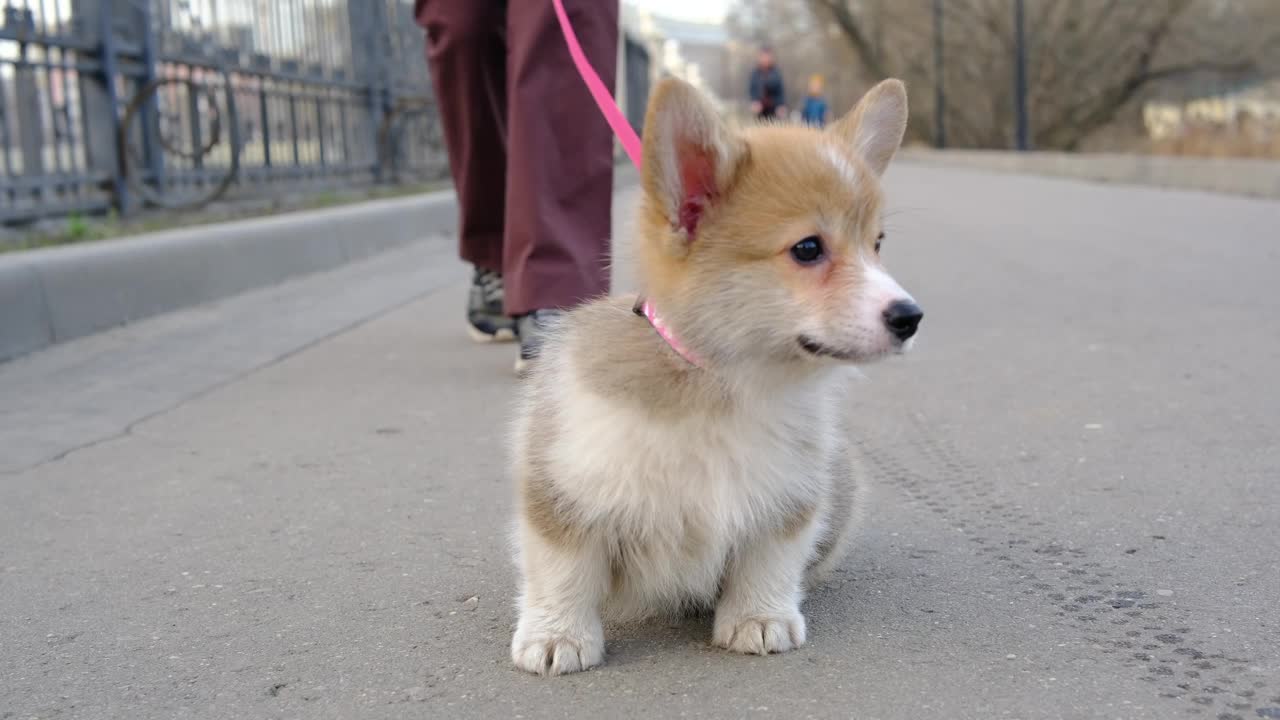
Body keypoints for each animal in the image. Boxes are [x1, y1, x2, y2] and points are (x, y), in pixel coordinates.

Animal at [506, 78, 921, 671]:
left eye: (877, 243)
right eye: (808, 248)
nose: (911, 317)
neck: (724, 383)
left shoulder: (787, 495)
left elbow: (770, 559)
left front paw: (760, 618)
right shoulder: (563, 484)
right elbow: (560, 568)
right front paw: (555, 635)